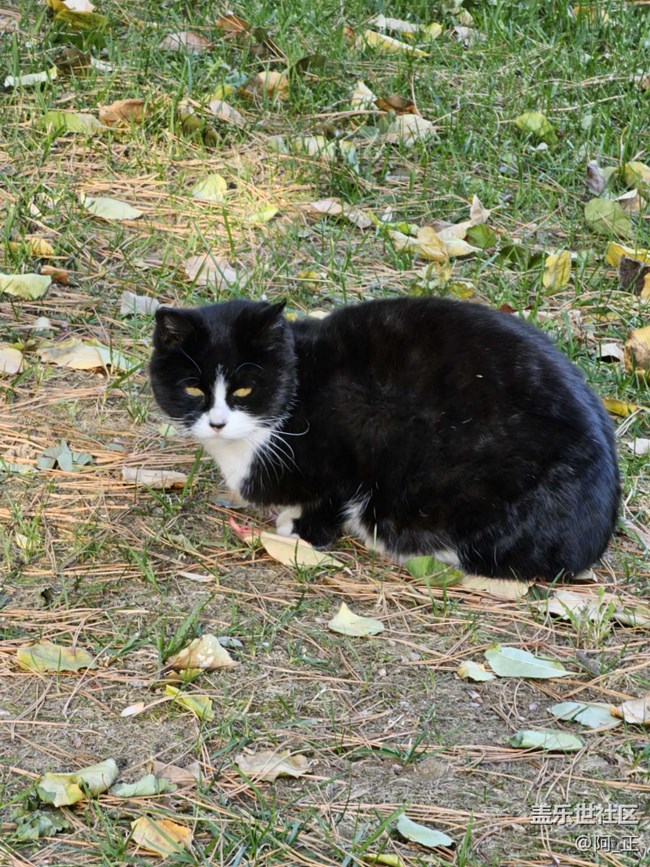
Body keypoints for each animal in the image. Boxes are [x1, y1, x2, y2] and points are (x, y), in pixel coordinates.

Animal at [150, 297, 620, 581]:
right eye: (194, 390)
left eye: (245, 389)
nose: (217, 423)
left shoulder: (353, 435)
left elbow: (333, 494)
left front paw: (303, 529)